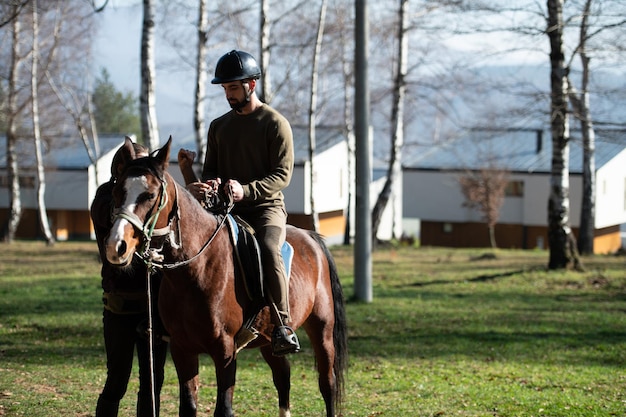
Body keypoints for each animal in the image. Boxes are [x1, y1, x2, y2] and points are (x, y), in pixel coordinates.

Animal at [103, 138, 346, 414]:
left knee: (327, 383)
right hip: (268, 340)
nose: (116, 245)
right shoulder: (182, 349)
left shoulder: (225, 351)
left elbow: (224, 408)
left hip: (322, 330)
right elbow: (188, 406)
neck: (195, 272)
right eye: (117, 192)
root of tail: (311, 238)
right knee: (283, 377)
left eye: (150, 195)